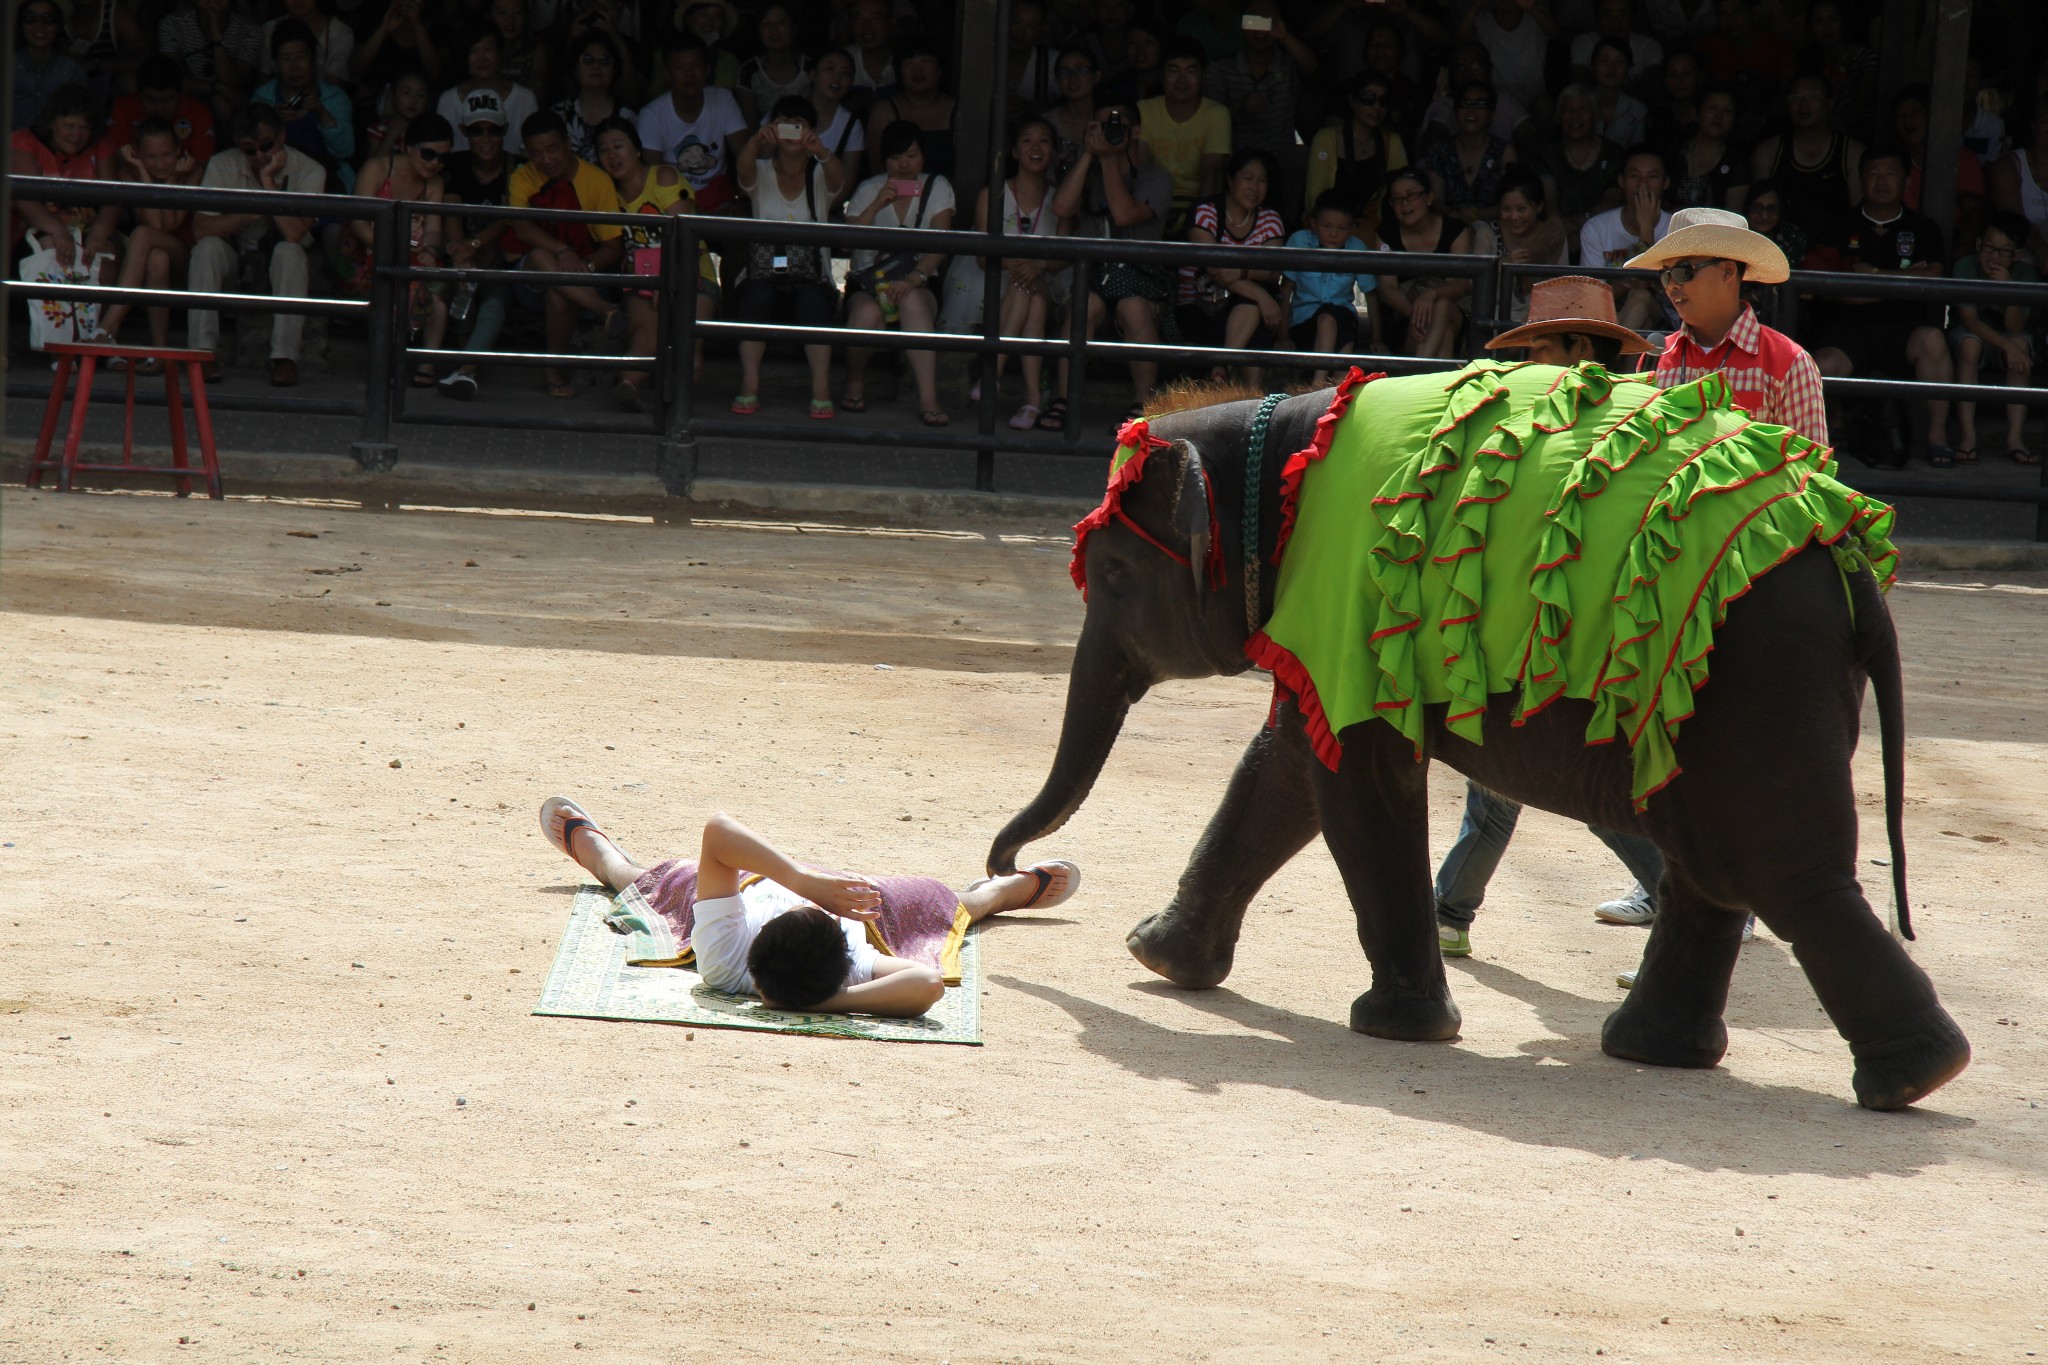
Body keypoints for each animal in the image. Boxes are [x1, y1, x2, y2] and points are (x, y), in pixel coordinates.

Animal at [987, 370, 1966, 1113]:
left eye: (1113, 574)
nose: (1016, 867)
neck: (1286, 433)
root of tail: (1852, 562)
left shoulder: (1352, 594)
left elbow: (1356, 779)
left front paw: (1401, 1028)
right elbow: (1291, 764)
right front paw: (1155, 957)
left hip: (1755, 679)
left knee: (1777, 870)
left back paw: (1913, 1077)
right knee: (1714, 867)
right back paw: (1660, 1052)